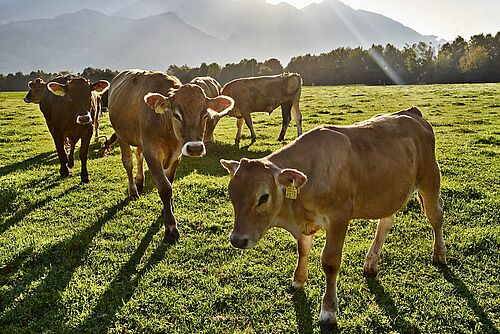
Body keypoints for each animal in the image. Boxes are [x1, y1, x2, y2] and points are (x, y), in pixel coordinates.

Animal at [109, 69, 234, 244]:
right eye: (177, 115)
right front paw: (171, 228)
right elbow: (165, 187)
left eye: (204, 115)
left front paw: (168, 209)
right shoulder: (152, 152)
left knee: (138, 155)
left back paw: (139, 181)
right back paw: (133, 190)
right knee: (128, 162)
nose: (195, 148)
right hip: (121, 135)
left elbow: (170, 182)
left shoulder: (176, 154)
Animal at [221, 107, 448, 328]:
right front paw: (298, 280)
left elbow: (330, 262)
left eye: (263, 197)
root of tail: (412, 113)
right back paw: (371, 263)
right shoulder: (306, 220)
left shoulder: (339, 217)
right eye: (231, 194)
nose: (237, 239)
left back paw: (439, 255)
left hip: (430, 180)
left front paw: (328, 310)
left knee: (436, 216)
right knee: (386, 222)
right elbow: (303, 250)